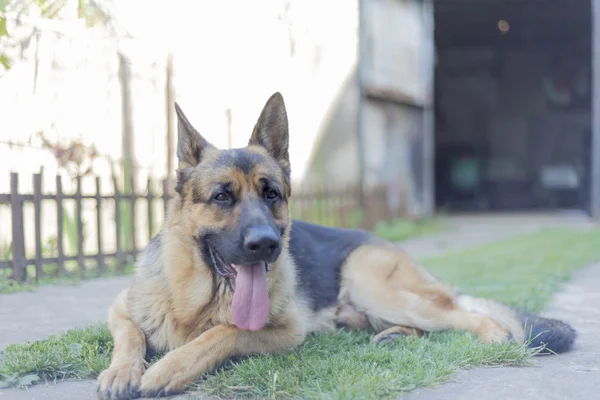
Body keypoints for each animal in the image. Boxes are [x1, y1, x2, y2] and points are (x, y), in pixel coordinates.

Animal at [97, 93, 576, 396]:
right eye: (221, 197)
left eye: (271, 194)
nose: (267, 245)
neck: (197, 300)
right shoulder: (119, 308)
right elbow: (130, 336)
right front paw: (121, 372)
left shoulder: (283, 331)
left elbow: (222, 333)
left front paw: (167, 369)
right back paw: (395, 336)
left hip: (377, 287)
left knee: (471, 316)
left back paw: (493, 338)